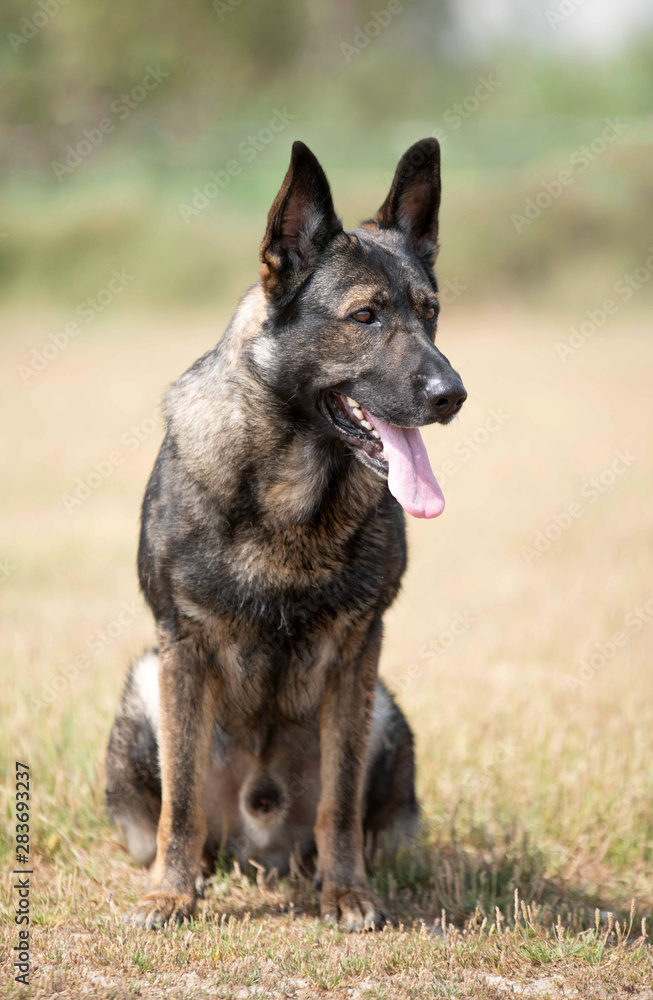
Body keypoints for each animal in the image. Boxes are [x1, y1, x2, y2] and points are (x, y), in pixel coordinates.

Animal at [104, 139, 466, 928]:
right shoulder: (182, 645)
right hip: (146, 689)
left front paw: (347, 891)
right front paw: (171, 894)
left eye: (430, 315)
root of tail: (259, 838)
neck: (292, 494)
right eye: (366, 316)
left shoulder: (358, 653)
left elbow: (339, 796)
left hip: (383, 707)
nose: (452, 396)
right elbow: (181, 801)